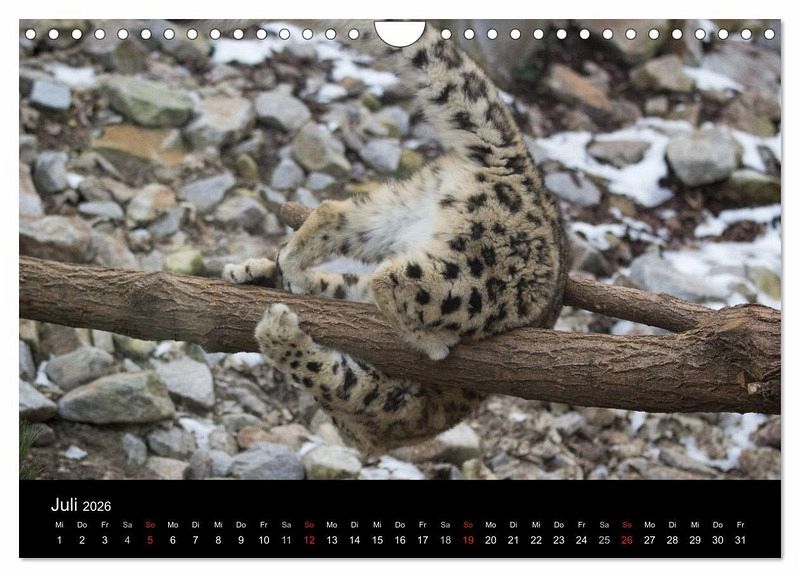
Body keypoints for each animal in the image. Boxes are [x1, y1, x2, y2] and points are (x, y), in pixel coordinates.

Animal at [223, 25, 568, 455]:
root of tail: (525, 173)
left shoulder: (376, 406)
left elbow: (322, 370)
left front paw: (273, 321)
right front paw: (259, 279)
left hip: (444, 247)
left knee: (369, 256)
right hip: (421, 225)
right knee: (371, 259)